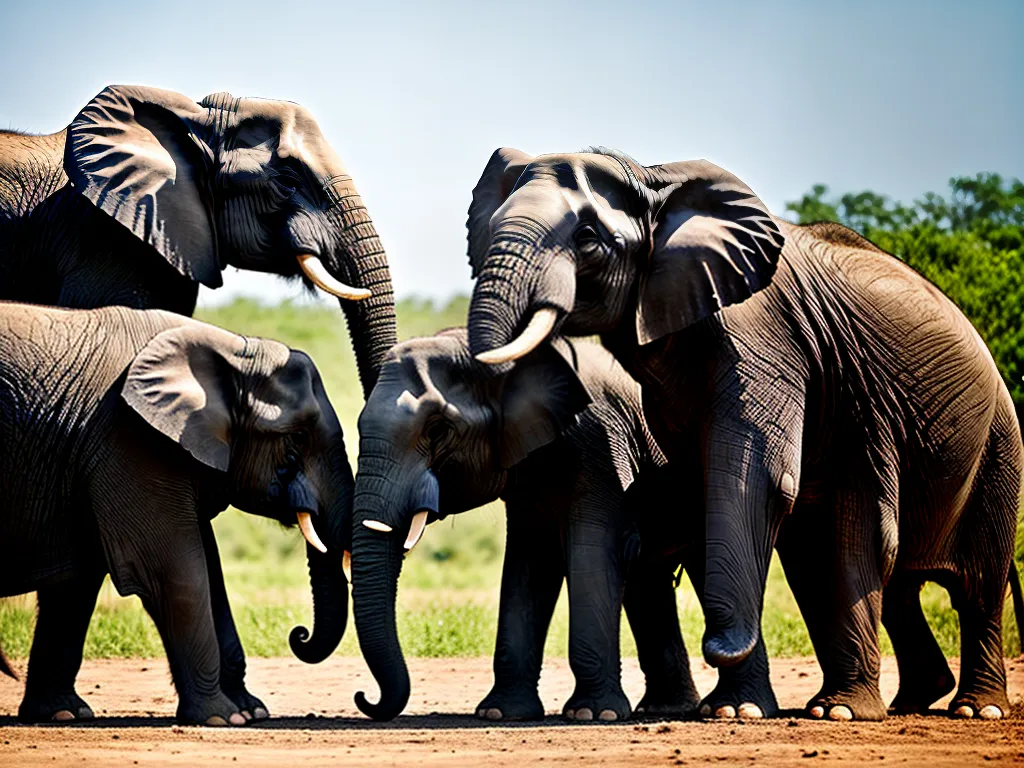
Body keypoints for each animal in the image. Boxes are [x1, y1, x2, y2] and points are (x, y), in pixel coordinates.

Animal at [0, 302, 353, 725]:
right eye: (298, 438)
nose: (298, 634)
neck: (233, 352)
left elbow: (88, 581)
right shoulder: (132, 440)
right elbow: (176, 572)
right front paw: (222, 719)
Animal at [348, 329, 701, 722]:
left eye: (438, 430)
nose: (363, 696)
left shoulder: (603, 446)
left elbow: (591, 553)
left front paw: (592, 714)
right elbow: (530, 564)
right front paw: (501, 713)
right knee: (648, 580)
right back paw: (667, 707)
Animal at [463, 148, 1024, 722]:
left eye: (588, 237)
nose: (716, 641)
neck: (653, 182)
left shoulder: (760, 333)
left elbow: (751, 477)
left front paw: (736, 706)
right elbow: (713, 485)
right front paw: (736, 709)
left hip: (997, 449)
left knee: (974, 585)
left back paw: (959, 711)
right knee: (869, 579)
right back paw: (898, 702)